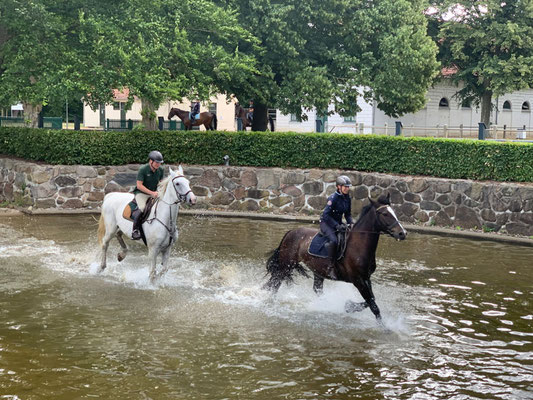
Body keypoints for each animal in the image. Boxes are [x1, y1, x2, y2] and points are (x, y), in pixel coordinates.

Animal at [262, 194, 408, 324]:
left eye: (394, 212)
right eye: (384, 214)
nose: (402, 233)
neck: (358, 245)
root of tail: (291, 232)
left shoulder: (366, 278)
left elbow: (371, 299)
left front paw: (349, 306)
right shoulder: (358, 280)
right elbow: (373, 305)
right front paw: (385, 327)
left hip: (317, 271)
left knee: (316, 289)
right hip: (285, 266)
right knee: (274, 285)